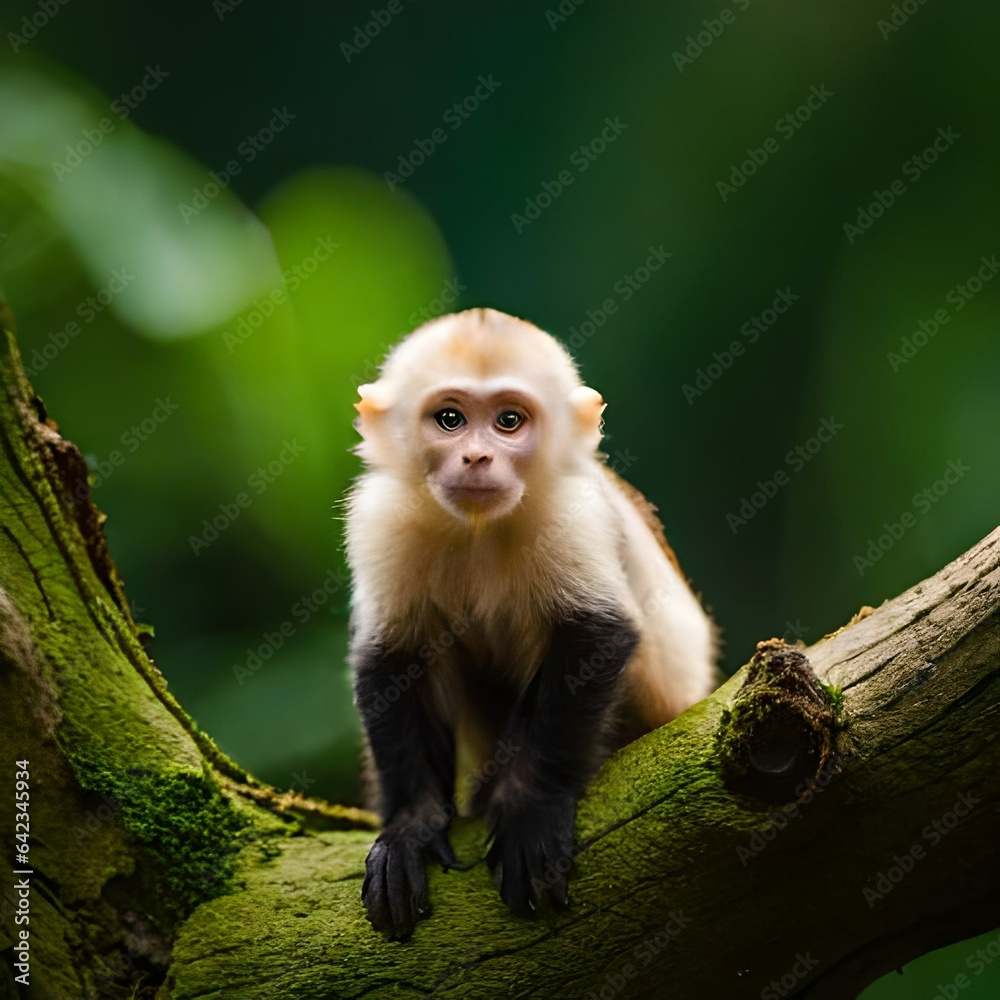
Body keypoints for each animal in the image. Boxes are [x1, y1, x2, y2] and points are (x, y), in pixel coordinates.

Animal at [346, 307, 716, 939]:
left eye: (509, 421)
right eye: (450, 419)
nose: (476, 457)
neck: (478, 530)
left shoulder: (573, 513)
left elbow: (598, 634)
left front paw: (533, 807)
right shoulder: (381, 518)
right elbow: (392, 659)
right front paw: (411, 827)